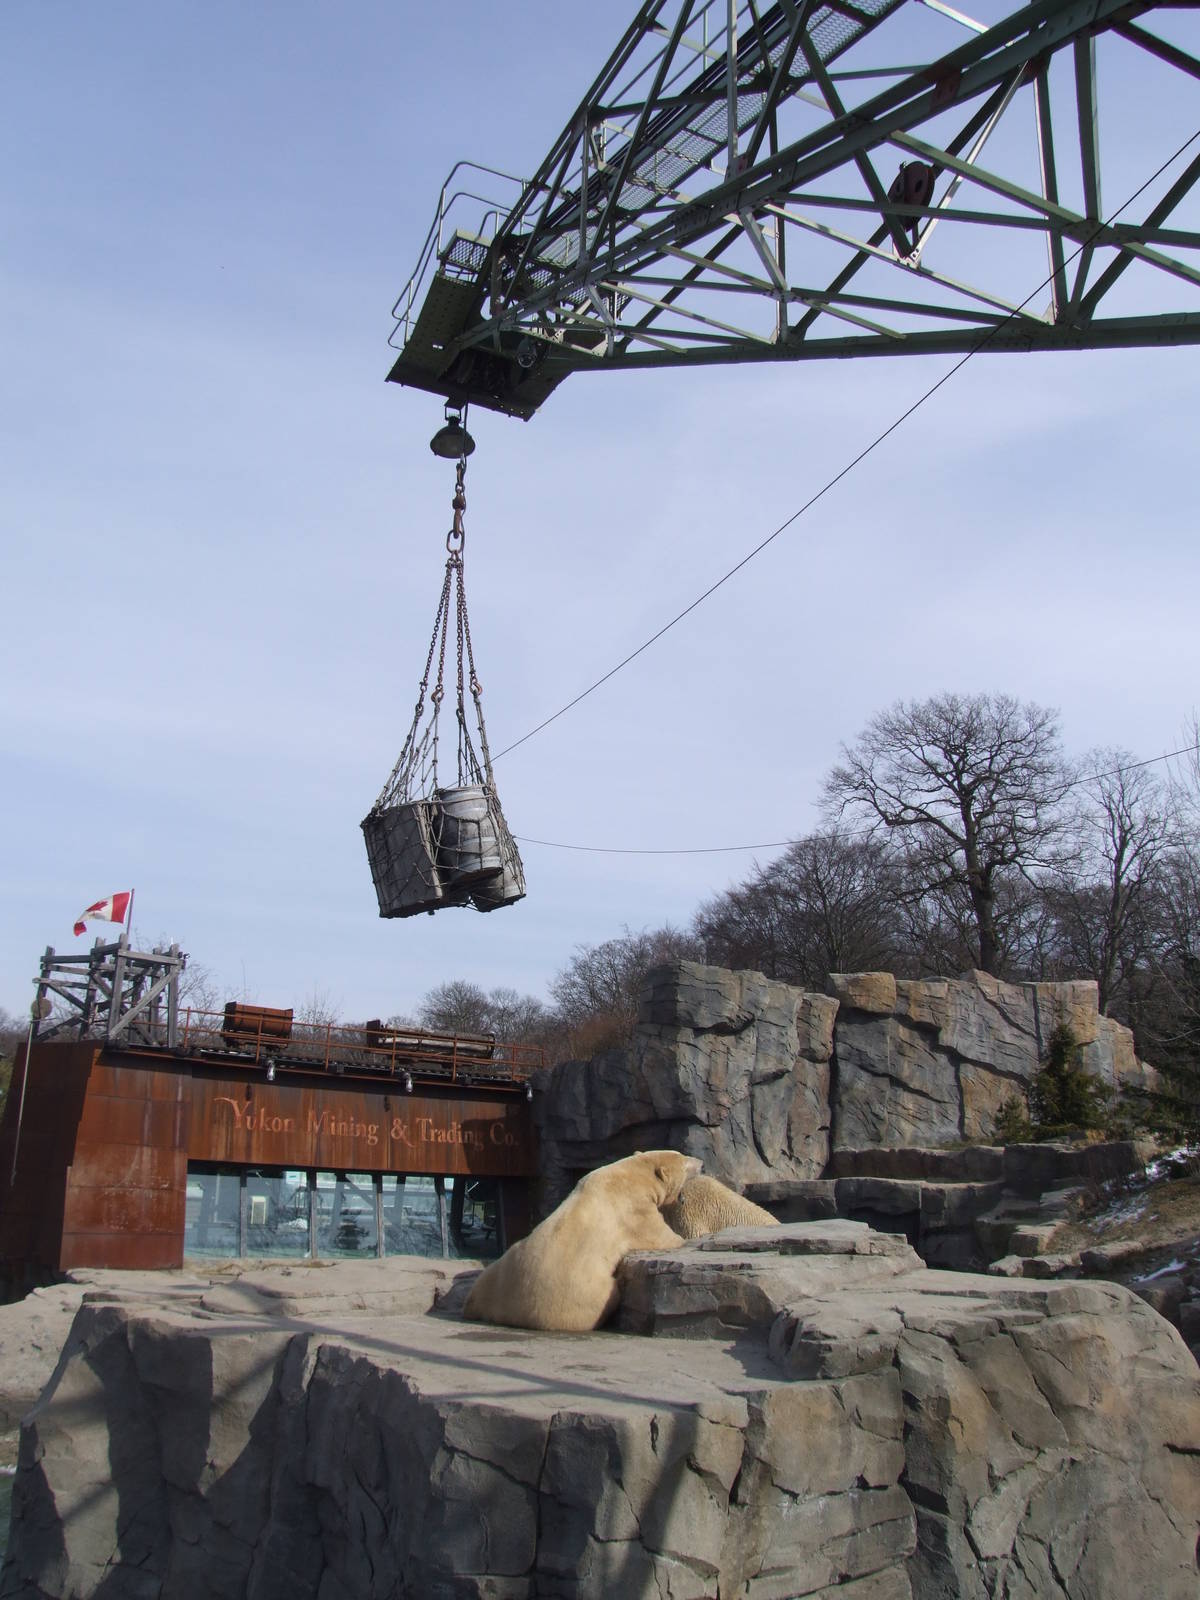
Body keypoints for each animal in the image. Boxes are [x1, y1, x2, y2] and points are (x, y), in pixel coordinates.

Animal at [462, 1149, 701, 1332]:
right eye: (684, 1161)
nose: (702, 1163)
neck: (633, 1174)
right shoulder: (635, 1210)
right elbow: (663, 1237)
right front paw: (684, 1238)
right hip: (583, 1294)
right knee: (609, 1294)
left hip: (503, 1266)